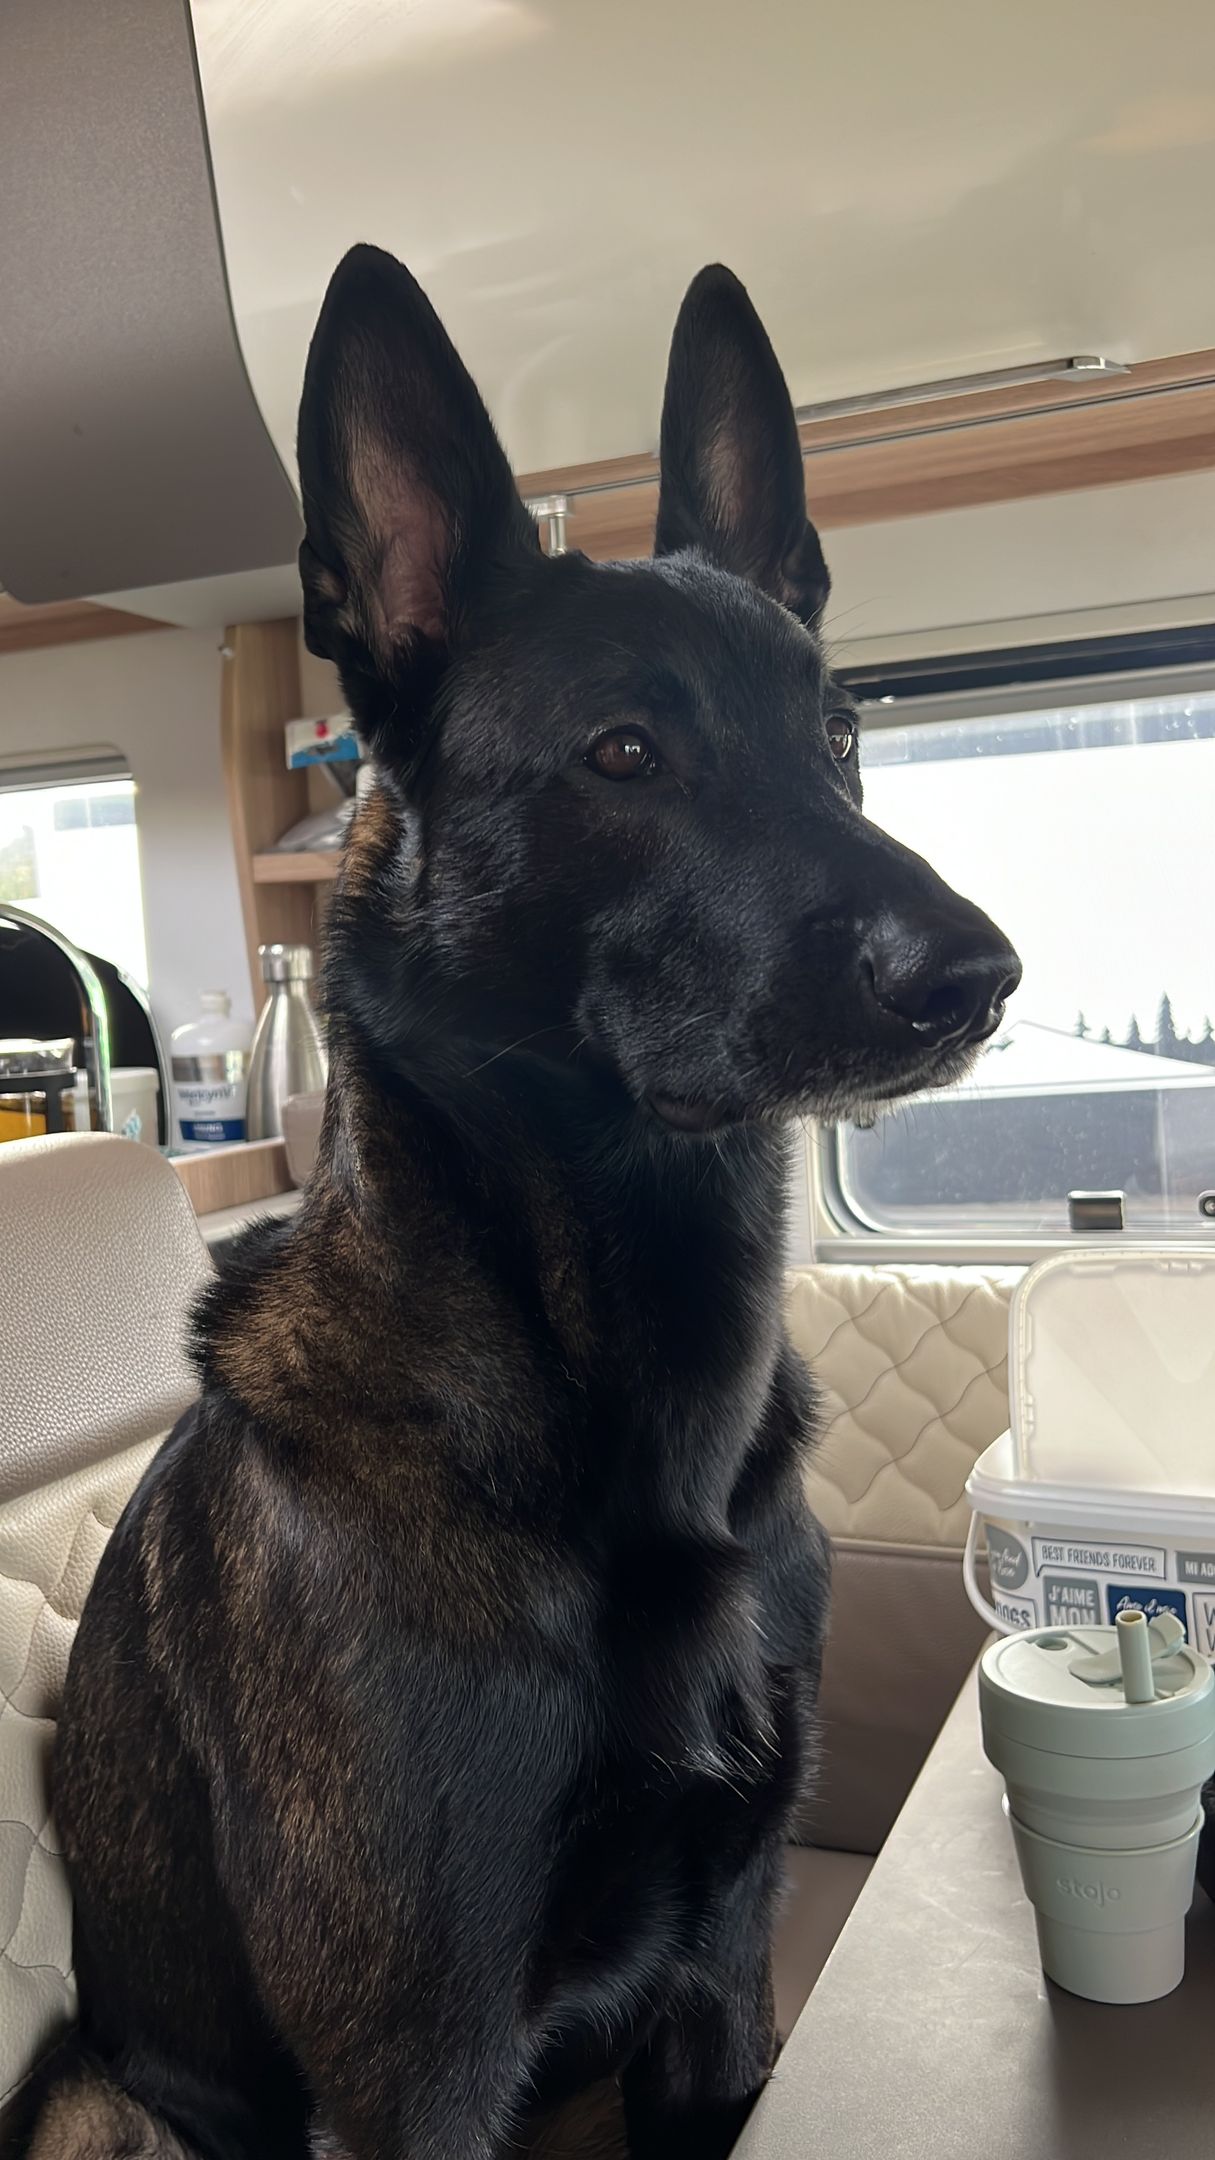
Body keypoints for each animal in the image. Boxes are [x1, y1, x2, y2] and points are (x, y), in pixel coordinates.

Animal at [7, 248, 1019, 2160]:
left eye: (839, 732)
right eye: (623, 752)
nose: (981, 977)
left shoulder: (723, 1975)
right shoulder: (419, 2069)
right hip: (108, 2107)